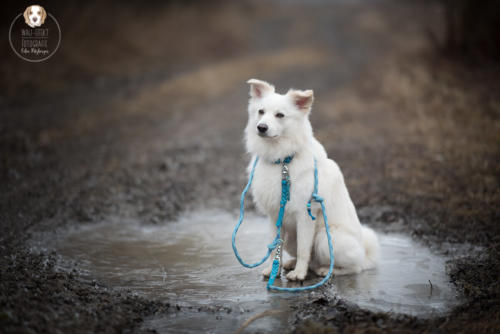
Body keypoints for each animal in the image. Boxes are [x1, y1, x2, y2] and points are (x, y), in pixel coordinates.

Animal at [245, 78, 378, 280]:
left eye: (280, 115)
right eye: (261, 112)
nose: (261, 127)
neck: (282, 161)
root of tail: (365, 252)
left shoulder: (305, 214)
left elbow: (303, 250)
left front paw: (299, 274)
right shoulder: (275, 215)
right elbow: (275, 245)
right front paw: (272, 269)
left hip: (325, 238)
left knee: (353, 267)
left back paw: (325, 270)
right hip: (293, 238)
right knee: (310, 258)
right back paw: (292, 264)